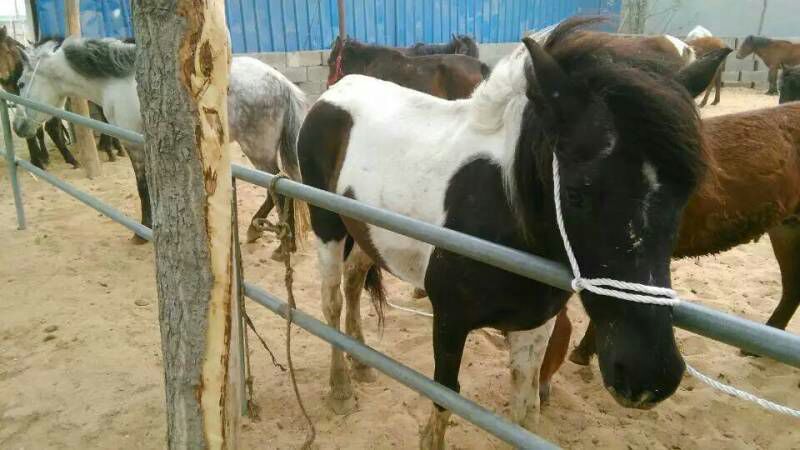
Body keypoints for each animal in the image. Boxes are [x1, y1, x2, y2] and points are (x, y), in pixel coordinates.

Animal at [11, 37, 307, 260]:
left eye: (21, 83)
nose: (18, 127)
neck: (115, 81)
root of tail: (282, 82)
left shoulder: (134, 146)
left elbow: (142, 187)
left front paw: (141, 231)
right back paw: (262, 234)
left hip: (257, 148)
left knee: (281, 190)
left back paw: (283, 247)